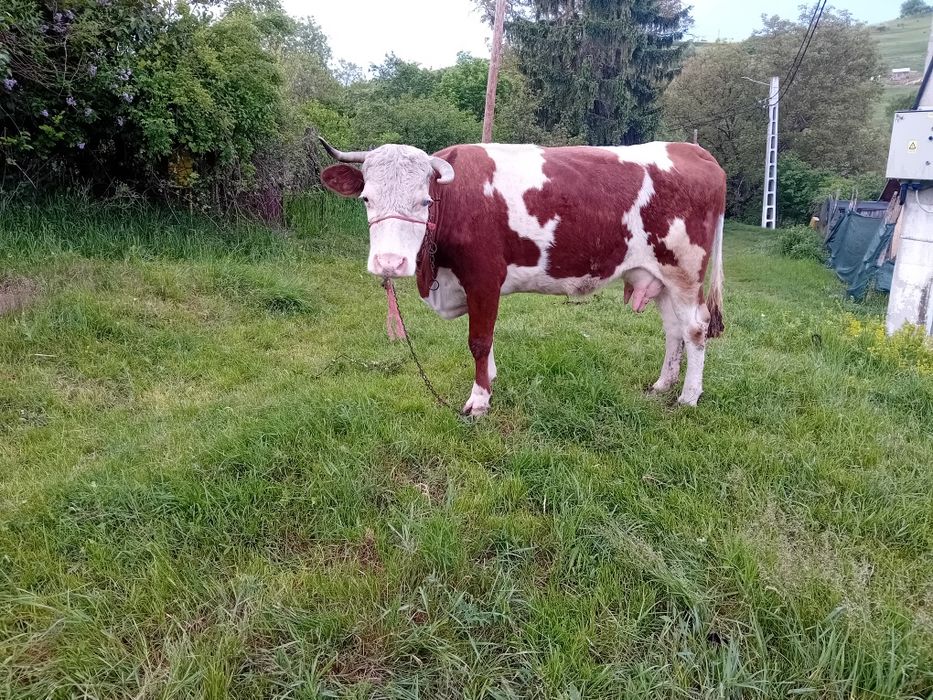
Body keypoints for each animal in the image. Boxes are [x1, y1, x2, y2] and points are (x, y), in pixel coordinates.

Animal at [319, 139, 726, 417]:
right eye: (367, 199)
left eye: (425, 201)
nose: (389, 262)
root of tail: (692, 149)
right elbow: (487, 338)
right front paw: (491, 379)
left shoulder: (484, 275)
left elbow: (479, 340)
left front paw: (479, 399)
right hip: (658, 277)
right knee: (673, 330)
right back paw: (662, 385)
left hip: (684, 271)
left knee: (694, 330)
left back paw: (689, 397)